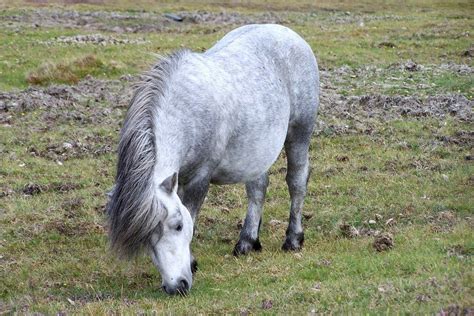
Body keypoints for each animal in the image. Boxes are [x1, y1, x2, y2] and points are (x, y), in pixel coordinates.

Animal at [107, 23, 320, 296]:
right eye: (145, 239)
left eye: (178, 226)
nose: (177, 286)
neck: (185, 111)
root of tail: (289, 33)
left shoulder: (199, 179)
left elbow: (193, 215)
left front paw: (192, 263)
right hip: (255, 150)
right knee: (257, 189)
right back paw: (247, 241)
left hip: (299, 135)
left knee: (296, 182)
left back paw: (293, 239)